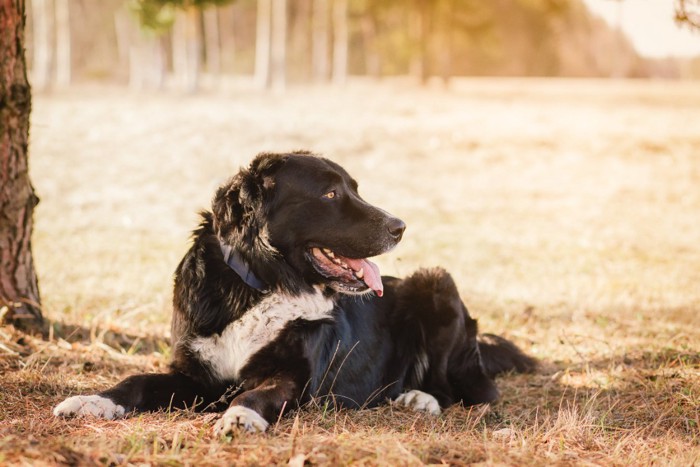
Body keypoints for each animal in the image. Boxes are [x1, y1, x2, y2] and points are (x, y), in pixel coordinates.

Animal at [54, 153, 536, 436]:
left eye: (355, 188)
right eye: (330, 193)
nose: (400, 226)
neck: (261, 285)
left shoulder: (293, 379)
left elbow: (255, 394)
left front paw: (240, 417)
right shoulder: (195, 375)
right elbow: (136, 381)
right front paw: (93, 400)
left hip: (437, 283)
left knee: (468, 389)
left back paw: (420, 398)